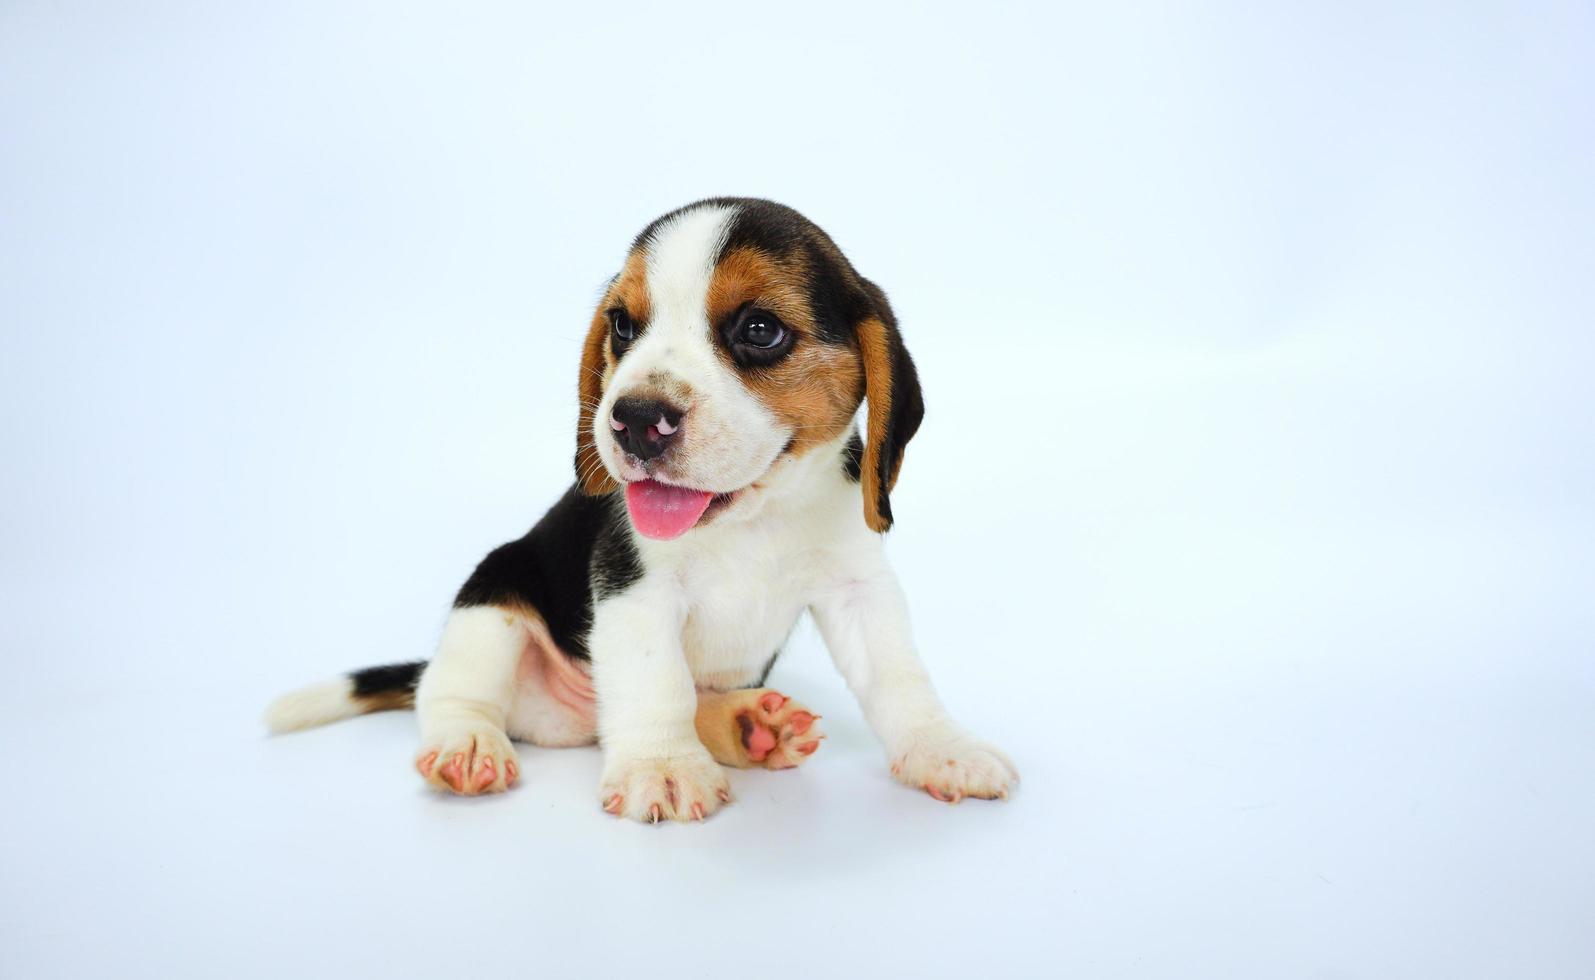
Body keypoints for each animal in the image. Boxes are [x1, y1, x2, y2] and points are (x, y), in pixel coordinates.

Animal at [266, 197, 1014, 823]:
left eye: (760, 329)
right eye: (623, 325)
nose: (634, 420)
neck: (751, 520)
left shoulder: (861, 588)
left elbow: (899, 677)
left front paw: (942, 748)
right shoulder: (635, 589)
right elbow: (659, 683)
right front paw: (663, 765)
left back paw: (749, 727)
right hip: (492, 600)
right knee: (450, 692)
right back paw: (469, 745)